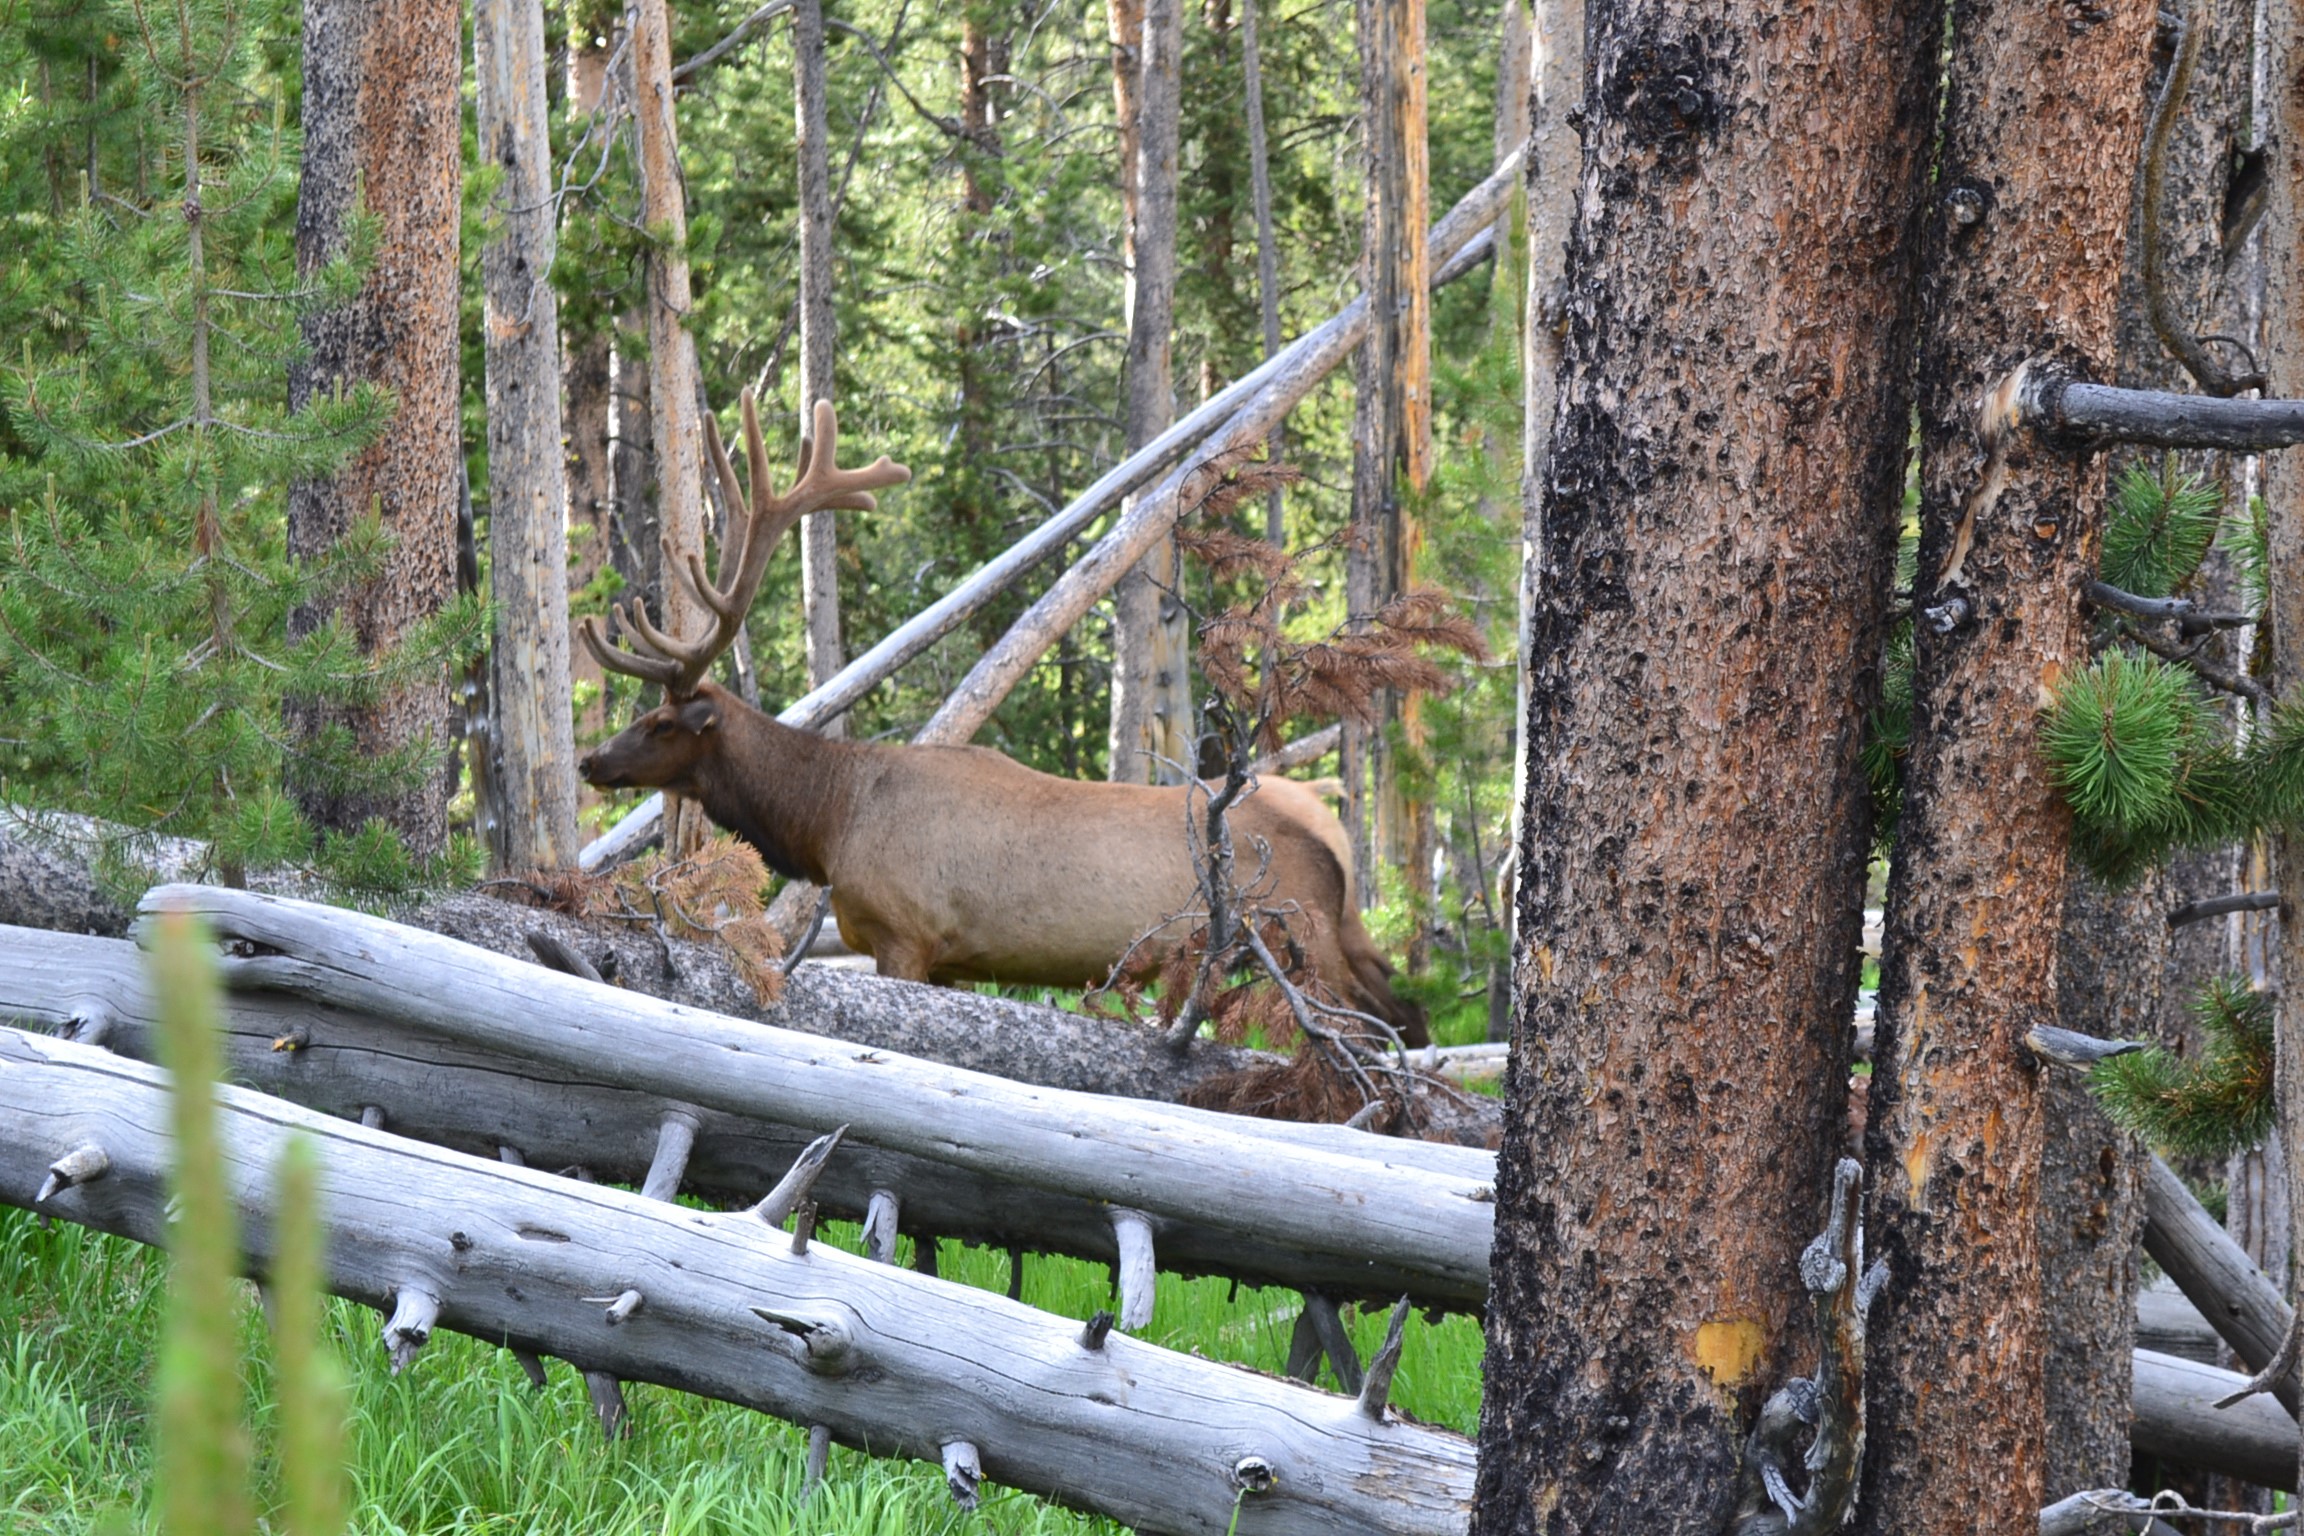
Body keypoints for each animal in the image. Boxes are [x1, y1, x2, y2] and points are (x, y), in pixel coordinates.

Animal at [577, 391, 1430, 1049]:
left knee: (1372, 1028)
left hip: (1300, 933)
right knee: (1408, 1010)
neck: (827, 824)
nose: (591, 761)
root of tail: (1333, 838)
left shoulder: (906, 936)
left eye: (663, 724)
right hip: (1345, 930)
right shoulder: (951, 958)